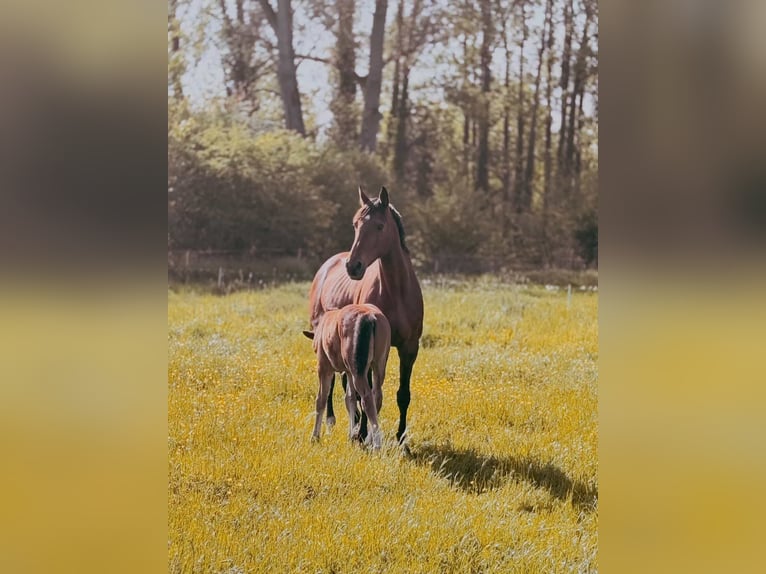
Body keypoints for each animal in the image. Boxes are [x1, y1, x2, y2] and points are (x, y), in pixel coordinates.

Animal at [303, 304, 391, 450]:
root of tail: (371, 318)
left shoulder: (324, 367)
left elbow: (321, 399)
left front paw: (315, 437)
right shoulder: (348, 372)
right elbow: (349, 399)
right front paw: (351, 435)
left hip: (358, 372)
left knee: (367, 398)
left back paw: (376, 444)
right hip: (378, 365)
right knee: (377, 395)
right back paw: (369, 439)